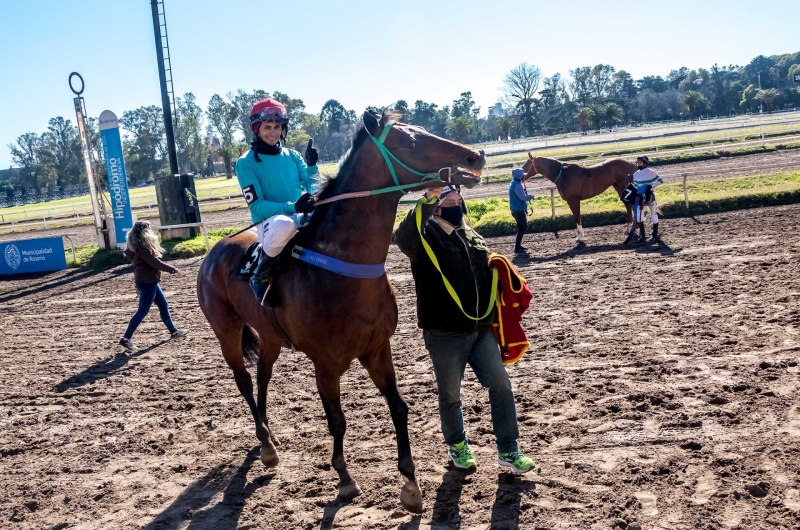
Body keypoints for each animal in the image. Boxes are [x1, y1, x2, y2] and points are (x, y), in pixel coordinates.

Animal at [197, 111, 484, 512]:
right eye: (411, 141)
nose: (475, 156)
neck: (345, 268)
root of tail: (215, 251)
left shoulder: (377, 348)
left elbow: (398, 407)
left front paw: (410, 485)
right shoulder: (326, 363)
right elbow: (337, 420)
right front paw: (345, 479)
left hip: (269, 336)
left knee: (262, 378)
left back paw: (268, 437)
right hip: (226, 331)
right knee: (243, 381)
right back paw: (266, 445)